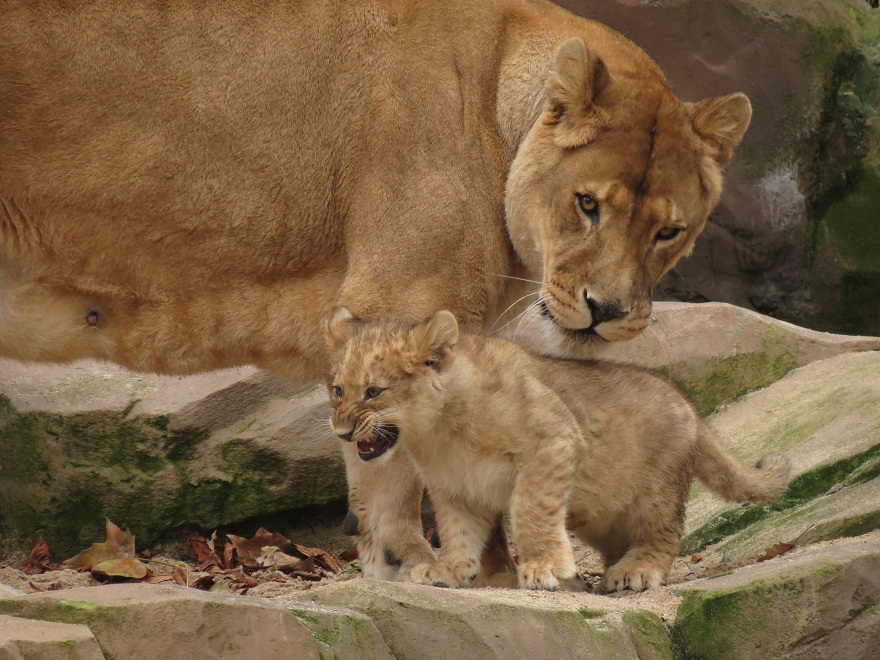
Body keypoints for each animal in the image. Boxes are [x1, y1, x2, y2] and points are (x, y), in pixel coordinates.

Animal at [0, 0, 751, 577]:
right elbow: (392, 464)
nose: (606, 311)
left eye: (669, 231)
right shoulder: (396, 301)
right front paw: (419, 566)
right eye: (588, 204)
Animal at [326, 308, 790, 591]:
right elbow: (457, 530)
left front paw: (544, 568)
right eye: (337, 391)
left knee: (665, 532)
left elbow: (530, 509)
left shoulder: (554, 440)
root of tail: (691, 408)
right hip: (603, 517)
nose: (342, 431)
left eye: (374, 391)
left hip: (654, 495)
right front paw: (448, 569)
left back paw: (636, 571)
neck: (436, 431)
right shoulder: (455, 487)